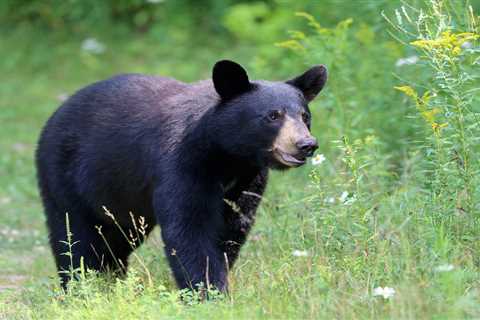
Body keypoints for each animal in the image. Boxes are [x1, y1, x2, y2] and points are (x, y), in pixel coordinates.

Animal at [35, 58, 328, 292]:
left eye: (305, 116)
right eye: (272, 116)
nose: (306, 144)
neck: (227, 156)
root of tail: (53, 116)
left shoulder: (247, 180)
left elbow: (232, 227)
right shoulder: (182, 164)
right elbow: (189, 227)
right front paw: (208, 292)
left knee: (116, 239)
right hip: (65, 177)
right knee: (75, 238)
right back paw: (81, 287)